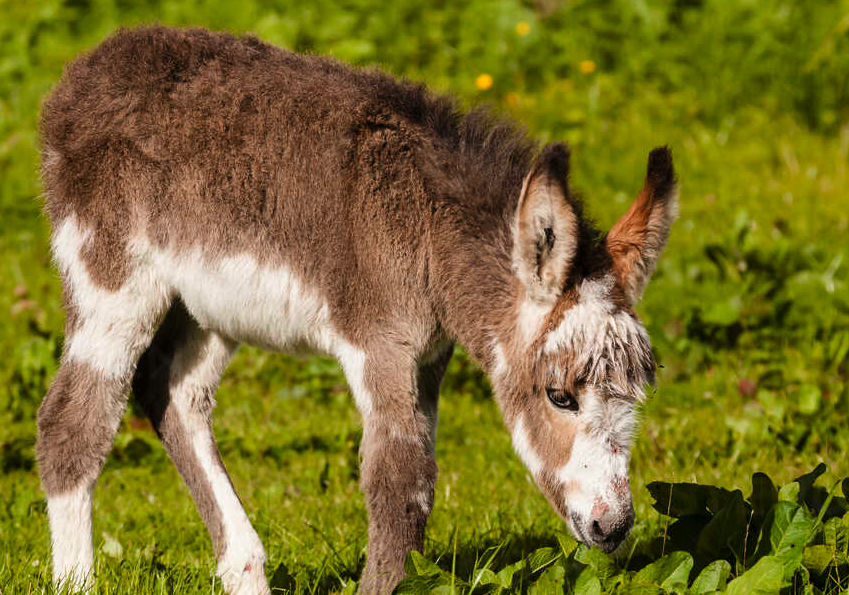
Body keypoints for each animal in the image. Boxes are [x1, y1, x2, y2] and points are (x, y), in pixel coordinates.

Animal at [36, 26, 680, 595]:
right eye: (559, 397)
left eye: (639, 391)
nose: (613, 526)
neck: (426, 230)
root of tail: (91, 66)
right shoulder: (379, 345)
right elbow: (398, 483)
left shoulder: (428, 356)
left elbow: (420, 480)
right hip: (112, 281)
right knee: (72, 423)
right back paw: (76, 580)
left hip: (207, 309)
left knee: (174, 394)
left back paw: (245, 572)